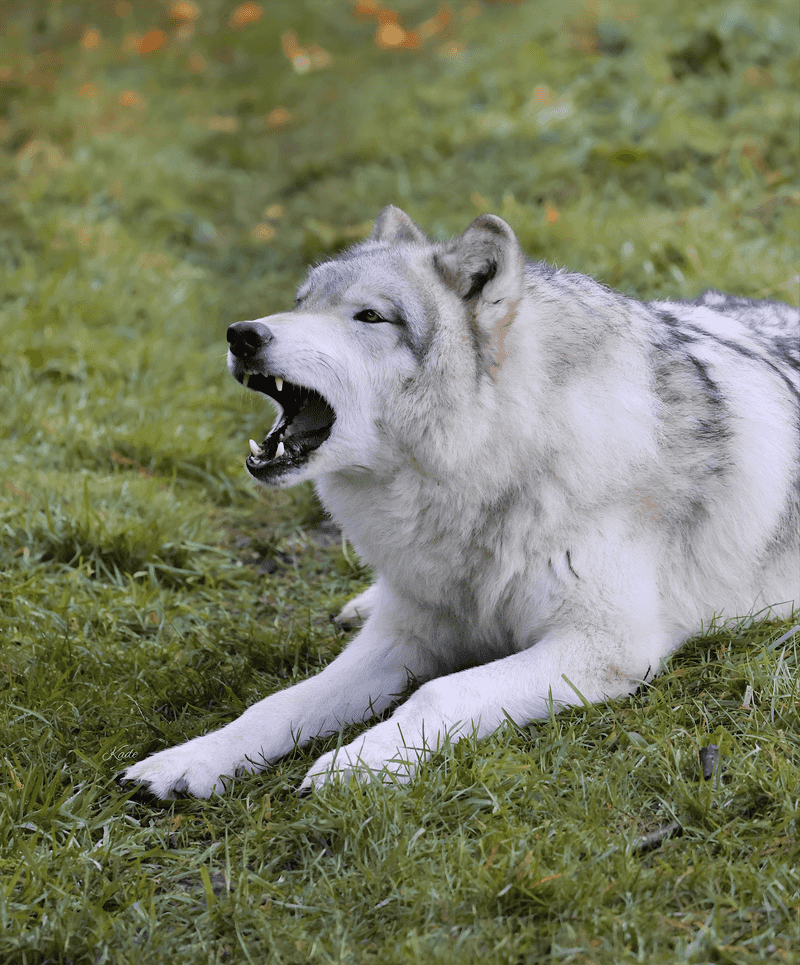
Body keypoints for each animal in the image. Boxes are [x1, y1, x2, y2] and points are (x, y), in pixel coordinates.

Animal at [123, 206, 799, 799]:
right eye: (300, 302)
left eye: (370, 317)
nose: (242, 335)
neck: (487, 470)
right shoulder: (408, 634)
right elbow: (278, 701)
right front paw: (189, 760)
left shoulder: (605, 646)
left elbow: (439, 693)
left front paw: (356, 764)